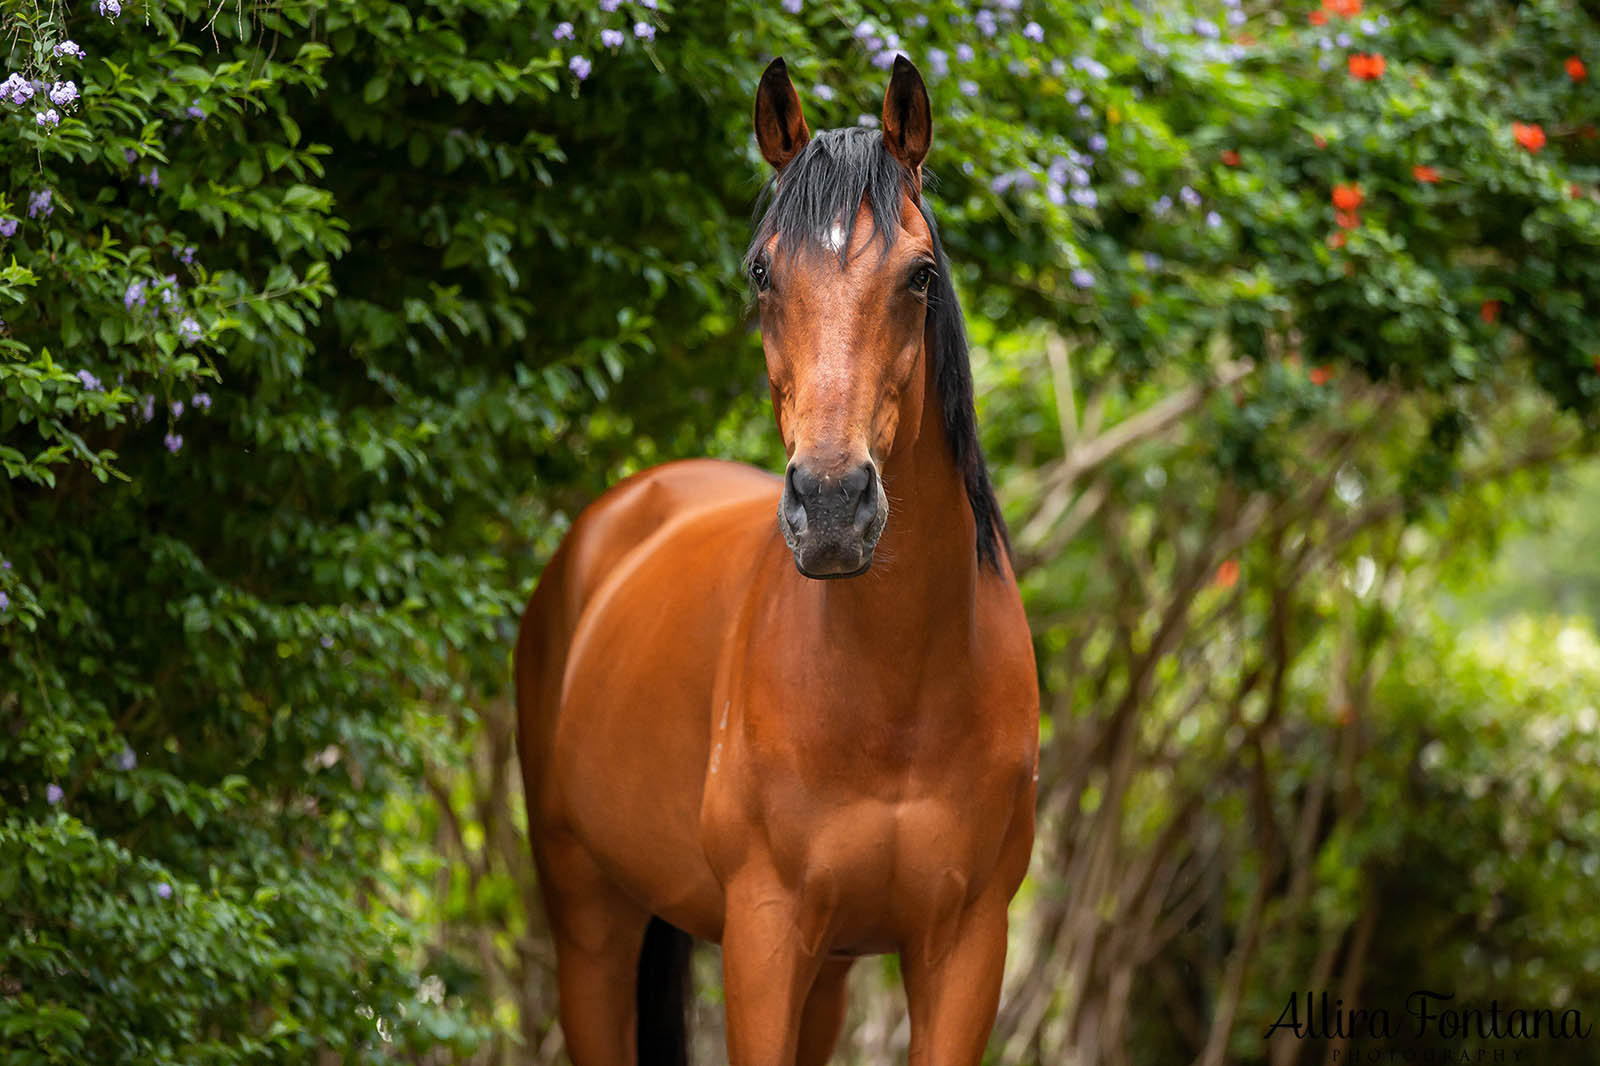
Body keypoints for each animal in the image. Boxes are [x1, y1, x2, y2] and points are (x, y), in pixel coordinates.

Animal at [515, 58, 1036, 1062]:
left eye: (920, 275)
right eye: (762, 271)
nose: (831, 507)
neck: (898, 699)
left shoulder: (965, 947)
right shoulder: (763, 935)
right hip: (588, 921)